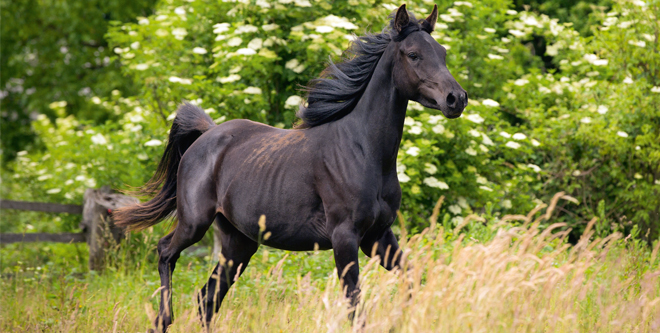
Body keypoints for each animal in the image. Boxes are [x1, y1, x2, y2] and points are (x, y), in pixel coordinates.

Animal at [114, 4, 464, 330]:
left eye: (443, 53)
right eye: (413, 54)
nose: (456, 99)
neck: (364, 151)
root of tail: (207, 135)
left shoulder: (378, 236)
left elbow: (412, 278)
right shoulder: (345, 237)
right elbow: (355, 306)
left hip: (238, 244)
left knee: (207, 298)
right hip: (194, 223)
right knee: (166, 253)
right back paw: (163, 318)